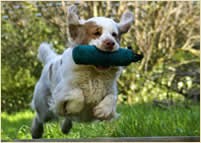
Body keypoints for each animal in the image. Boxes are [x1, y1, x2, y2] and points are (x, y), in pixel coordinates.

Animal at [31, 5, 133, 138]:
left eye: (114, 34)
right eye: (96, 33)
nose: (110, 43)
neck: (93, 72)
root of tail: (50, 60)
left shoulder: (110, 88)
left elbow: (112, 97)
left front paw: (102, 110)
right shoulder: (62, 91)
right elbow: (77, 94)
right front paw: (75, 106)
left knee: (66, 118)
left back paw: (65, 128)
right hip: (43, 105)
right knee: (39, 117)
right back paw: (36, 132)